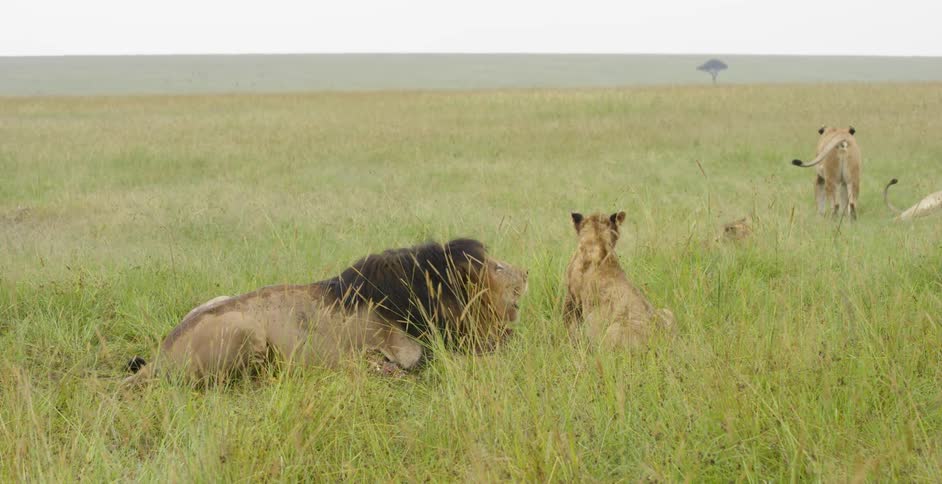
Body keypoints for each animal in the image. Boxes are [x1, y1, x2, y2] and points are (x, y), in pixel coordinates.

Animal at [563, 211, 675, 349]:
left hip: (613, 330)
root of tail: (662, 340)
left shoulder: (572, 297)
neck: (598, 238)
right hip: (667, 312)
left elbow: (568, 325)